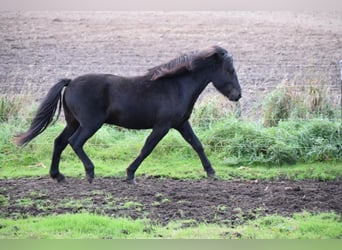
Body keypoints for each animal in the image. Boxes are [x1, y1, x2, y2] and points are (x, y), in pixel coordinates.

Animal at [15, 46, 240, 184]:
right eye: (230, 70)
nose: (238, 95)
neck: (176, 87)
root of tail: (70, 82)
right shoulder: (162, 126)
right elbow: (147, 148)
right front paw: (130, 174)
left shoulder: (181, 124)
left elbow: (197, 145)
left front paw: (211, 172)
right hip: (90, 124)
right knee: (75, 142)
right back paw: (90, 173)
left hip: (73, 122)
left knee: (59, 142)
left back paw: (57, 175)